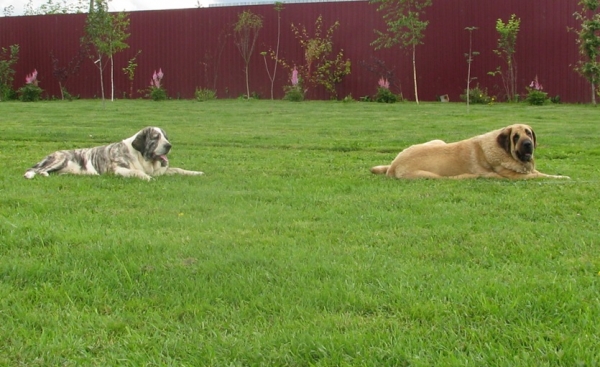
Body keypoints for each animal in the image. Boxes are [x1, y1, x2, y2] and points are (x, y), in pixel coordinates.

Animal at [24, 127, 204, 182]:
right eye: (155, 138)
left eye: (166, 137)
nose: (169, 145)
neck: (141, 157)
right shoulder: (119, 169)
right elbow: (137, 172)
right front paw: (147, 178)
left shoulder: (163, 170)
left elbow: (180, 169)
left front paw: (196, 173)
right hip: (60, 158)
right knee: (36, 170)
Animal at [370, 124, 572, 180]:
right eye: (516, 137)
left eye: (528, 132)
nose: (528, 144)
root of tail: (394, 165)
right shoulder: (518, 177)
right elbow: (542, 176)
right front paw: (563, 178)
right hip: (430, 176)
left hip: (437, 140)